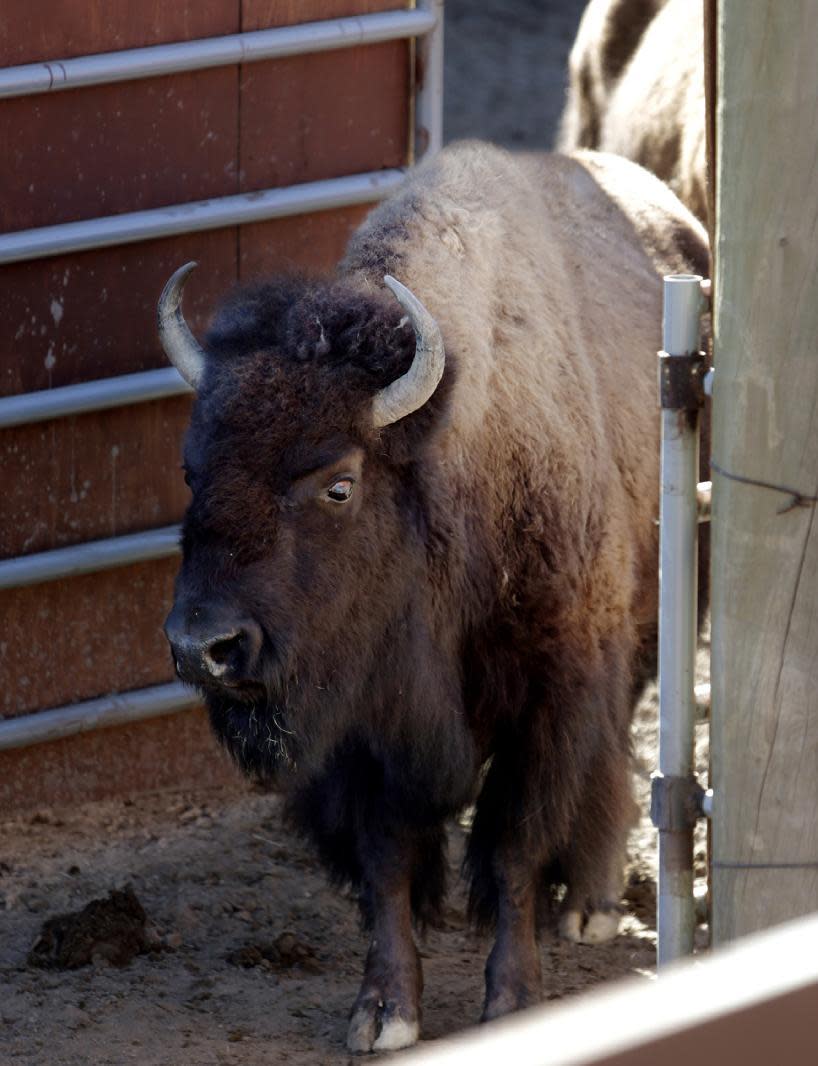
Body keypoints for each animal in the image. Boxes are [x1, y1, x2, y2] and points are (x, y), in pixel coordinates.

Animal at [159, 139, 708, 1048]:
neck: (446, 468)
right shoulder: (363, 724)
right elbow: (386, 857)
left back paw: (590, 904)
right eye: (192, 469)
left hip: (644, 626)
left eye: (338, 483)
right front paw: (383, 1013)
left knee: (616, 745)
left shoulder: (548, 693)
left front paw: (513, 999)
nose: (204, 647)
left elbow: (514, 842)